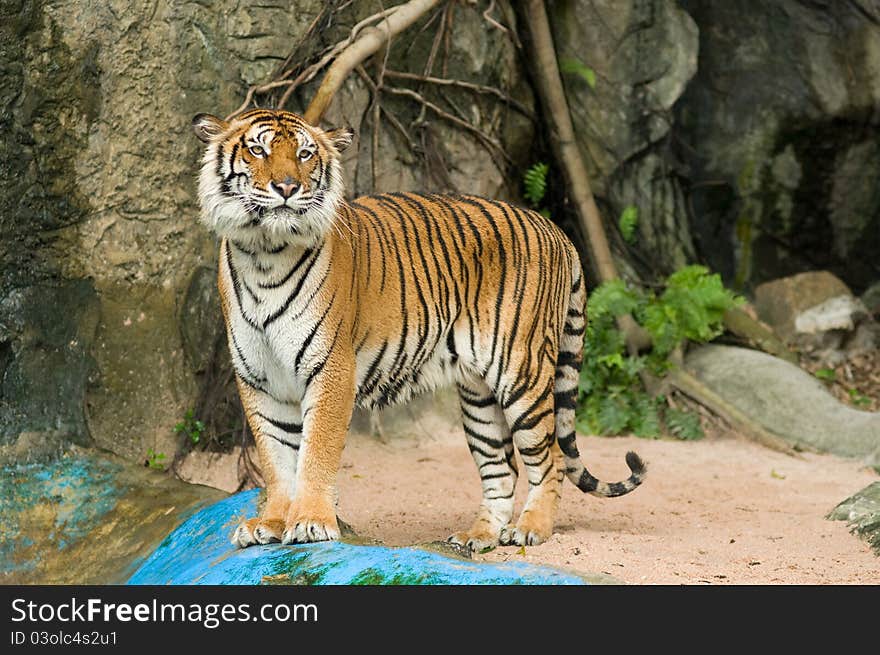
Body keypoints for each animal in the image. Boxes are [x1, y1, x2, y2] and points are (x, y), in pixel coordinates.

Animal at [194, 109, 648, 552]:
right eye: (257, 150)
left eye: (305, 154)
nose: (287, 187)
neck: (263, 251)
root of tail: (555, 230)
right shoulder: (260, 380)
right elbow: (276, 460)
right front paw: (271, 524)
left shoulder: (331, 370)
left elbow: (315, 452)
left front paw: (309, 523)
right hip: (478, 394)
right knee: (502, 467)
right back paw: (479, 536)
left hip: (522, 372)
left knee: (548, 457)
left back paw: (530, 528)